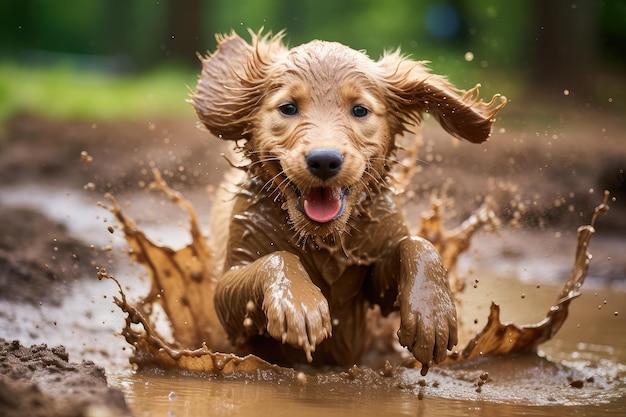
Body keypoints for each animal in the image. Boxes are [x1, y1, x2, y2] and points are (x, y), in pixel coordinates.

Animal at [190, 30, 502, 372]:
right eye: (288, 108)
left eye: (360, 110)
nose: (324, 160)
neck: (323, 239)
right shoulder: (230, 292)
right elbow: (274, 259)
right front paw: (300, 304)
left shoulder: (374, 273)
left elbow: (417, 244)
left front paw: (432, 314)